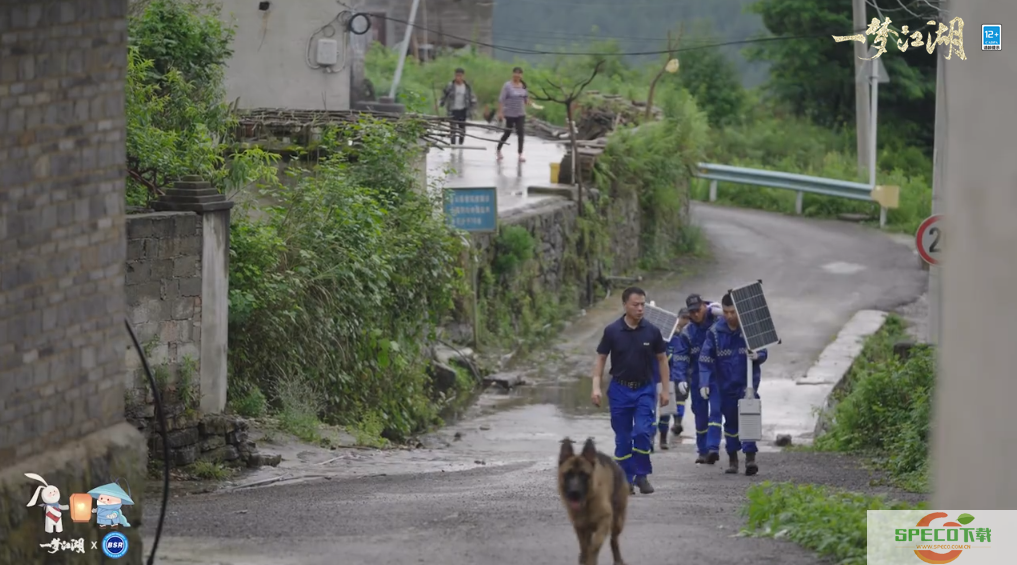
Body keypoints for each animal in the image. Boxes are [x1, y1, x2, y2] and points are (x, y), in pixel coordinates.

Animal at [557, 436, 626, 565]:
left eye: (584, 475)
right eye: (568, 474)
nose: (574, 493)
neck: (586, 504)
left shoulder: (604, 521)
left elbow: (594, 546)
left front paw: (590, 558)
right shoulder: (580, 527)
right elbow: (584, 547)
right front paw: (584, 558)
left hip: (617, 522)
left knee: (613, 540)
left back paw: (617, 559)